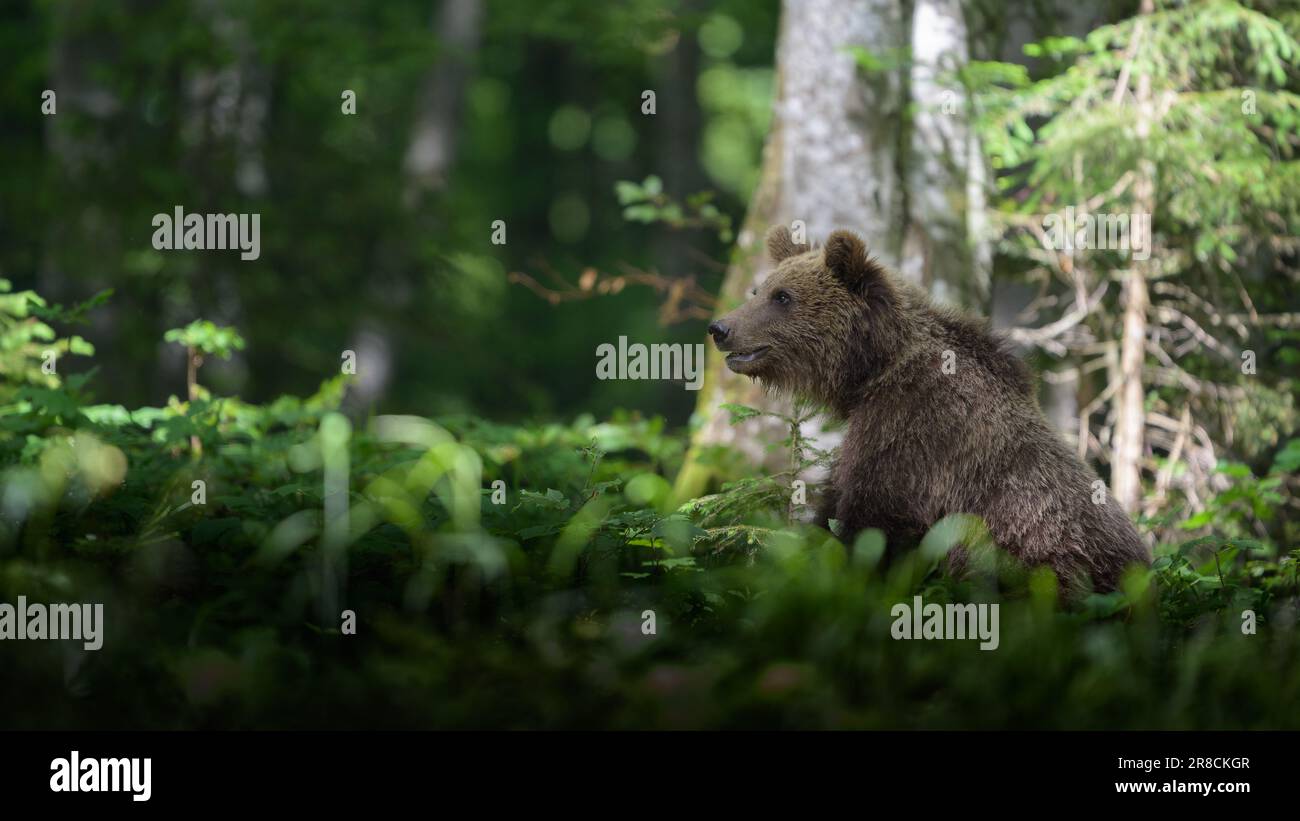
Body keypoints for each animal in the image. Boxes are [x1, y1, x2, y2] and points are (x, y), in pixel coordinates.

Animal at [706, 225, 1150, 595]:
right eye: (758, 291)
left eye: (783, 296)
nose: (720, 328)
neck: (874, 370)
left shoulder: (914, 428)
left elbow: (872, 521)